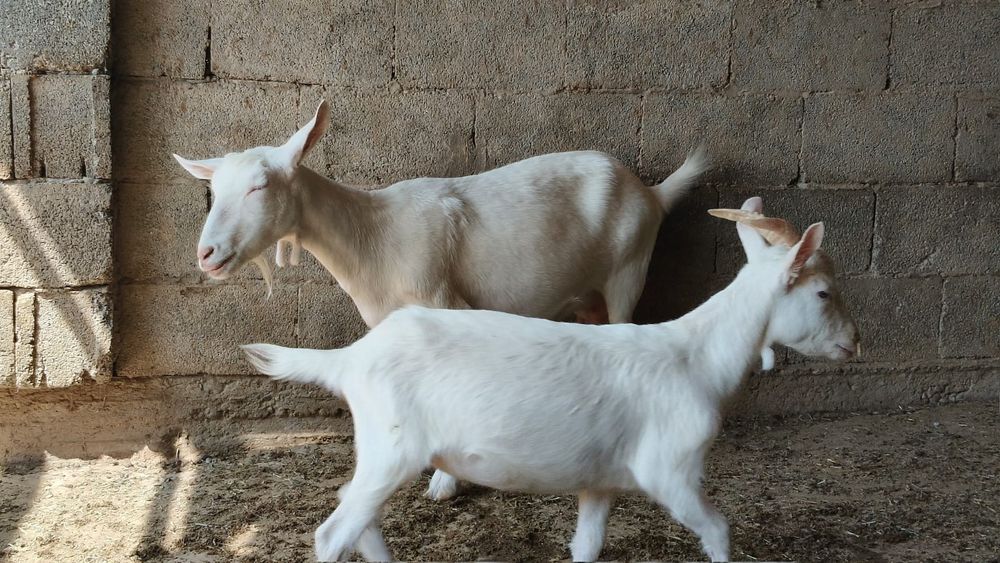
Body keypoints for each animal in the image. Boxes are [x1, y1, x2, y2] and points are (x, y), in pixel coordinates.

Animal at [174, 100, 708, 500]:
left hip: (628, 270)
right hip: (590, 294)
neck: (374, 236)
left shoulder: (443, 300)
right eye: (213, 189)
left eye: (260, 186)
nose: (206, 254)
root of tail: (654, 194)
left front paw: (446, 482)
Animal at [242, 197, 861, 562]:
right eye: (822, 292)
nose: (854, 342)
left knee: (355, 513)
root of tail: (350, 358)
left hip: (380, 450)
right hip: (393, 448)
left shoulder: (601, 479)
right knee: (334, 531)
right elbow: (718, 530)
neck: (696, 359)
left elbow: (587, 545)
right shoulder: (670, 467)